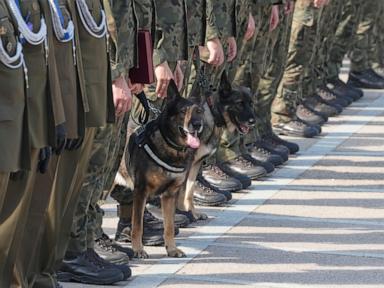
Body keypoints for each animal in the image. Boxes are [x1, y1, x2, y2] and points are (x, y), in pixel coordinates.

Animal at [127, 80, 206, 258]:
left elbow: (169, 226)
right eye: (182, 111)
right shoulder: (140, 191)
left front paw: (171, 249)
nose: (197, 125)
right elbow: (137, 226)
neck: (171, 145)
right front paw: (138, 249)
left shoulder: (169, 195)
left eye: (199, 111)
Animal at [178, 72, 256, 220]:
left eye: (251, 104)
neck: (212, 114)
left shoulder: (196, 164)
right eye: (239, 104)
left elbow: (189, 190)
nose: (253, 122)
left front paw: (192, 212)